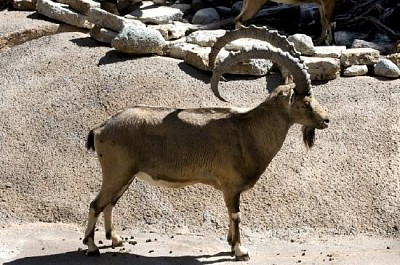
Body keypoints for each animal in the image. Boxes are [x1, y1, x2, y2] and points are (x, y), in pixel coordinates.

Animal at [83, 27, 330, 260]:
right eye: (305, 103)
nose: (326, 120)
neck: (248, 131)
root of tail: (100, 128)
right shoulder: (231, 185)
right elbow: (236, 215)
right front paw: (240, 250)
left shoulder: (230, 189)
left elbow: (230, 215)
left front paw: (230, 243)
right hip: (117, 172)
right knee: (96, 204)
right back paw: (92, 246)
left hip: (126, 176)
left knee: (110, 203)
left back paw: (115, 239)